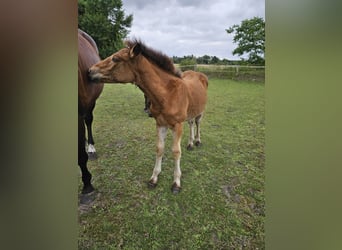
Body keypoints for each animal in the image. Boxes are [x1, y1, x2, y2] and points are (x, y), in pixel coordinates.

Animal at [87, 39, 208, 193]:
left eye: (116, 58)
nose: (90, 71)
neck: (167, 94)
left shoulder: (177, 125)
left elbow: (175, 151)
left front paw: (176, 183)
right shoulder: (160, 123)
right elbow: (159, 148)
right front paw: (154, 178)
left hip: (200, 111)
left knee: (197, 123)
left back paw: (197, 141)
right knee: (191, 123)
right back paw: (190, 143)